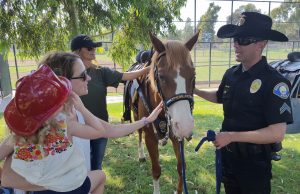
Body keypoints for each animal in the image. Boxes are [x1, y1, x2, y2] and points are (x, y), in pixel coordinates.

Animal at [123, 31, 198, 193]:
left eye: (193, 75)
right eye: (162, 77)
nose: (185, 126)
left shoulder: (177, 136)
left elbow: (181, 168)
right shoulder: (150, 138)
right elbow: (156, 170)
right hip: (136, 117)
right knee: (139, 133)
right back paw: (141, 155)